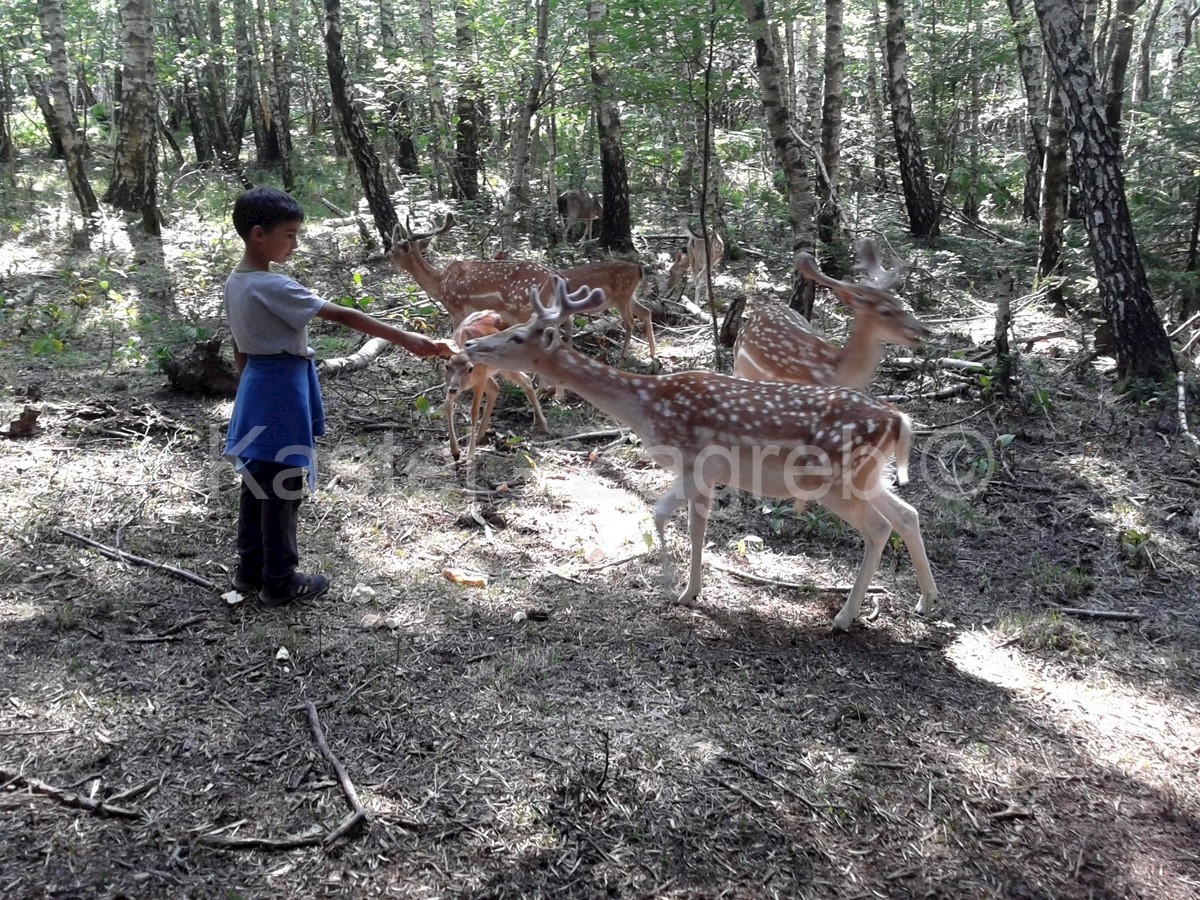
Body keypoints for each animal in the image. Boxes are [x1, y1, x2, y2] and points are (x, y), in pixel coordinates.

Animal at [446, 312, 549, 465]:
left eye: (470, 368)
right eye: (447, 366)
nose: (453, 389)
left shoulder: (480, 378)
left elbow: (474, 412)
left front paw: (470, 454)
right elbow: (447, 405)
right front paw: (455, 452)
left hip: (507, 364)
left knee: (524, 380)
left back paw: (544, 425)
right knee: (498, 387)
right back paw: (480, 435)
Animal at [458, 278, 936, 628]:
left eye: (518, 336)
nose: (472, 346)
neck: (645, 408)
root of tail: (898, 420)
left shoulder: (694, 462)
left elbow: (677, 522)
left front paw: (678, 590)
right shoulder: (697, 472)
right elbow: (677, 519)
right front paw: (686, 590)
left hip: (835, 481)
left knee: (878, 528)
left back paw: (845, 617)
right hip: (868, 476)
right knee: (908, 513)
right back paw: (926, 601)